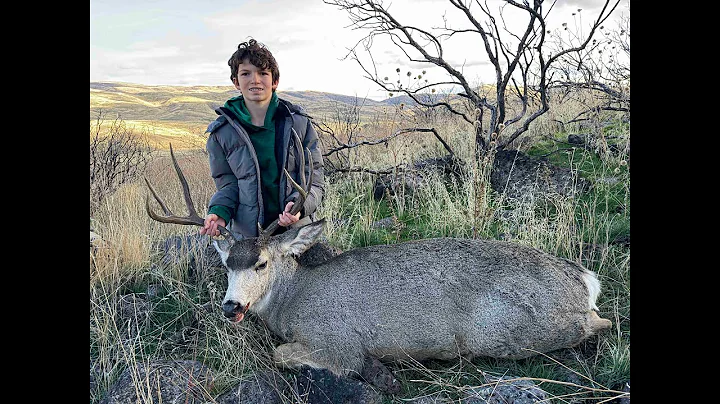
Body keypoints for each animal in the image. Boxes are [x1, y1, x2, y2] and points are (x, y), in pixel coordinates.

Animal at [145, 144, 612, 393]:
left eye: (260, 262)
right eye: (226, 263)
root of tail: (582, 277)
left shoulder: (337, 344)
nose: (231, 306)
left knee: (596, 323)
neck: (295, 300)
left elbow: (283, 355)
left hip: (510, 329)